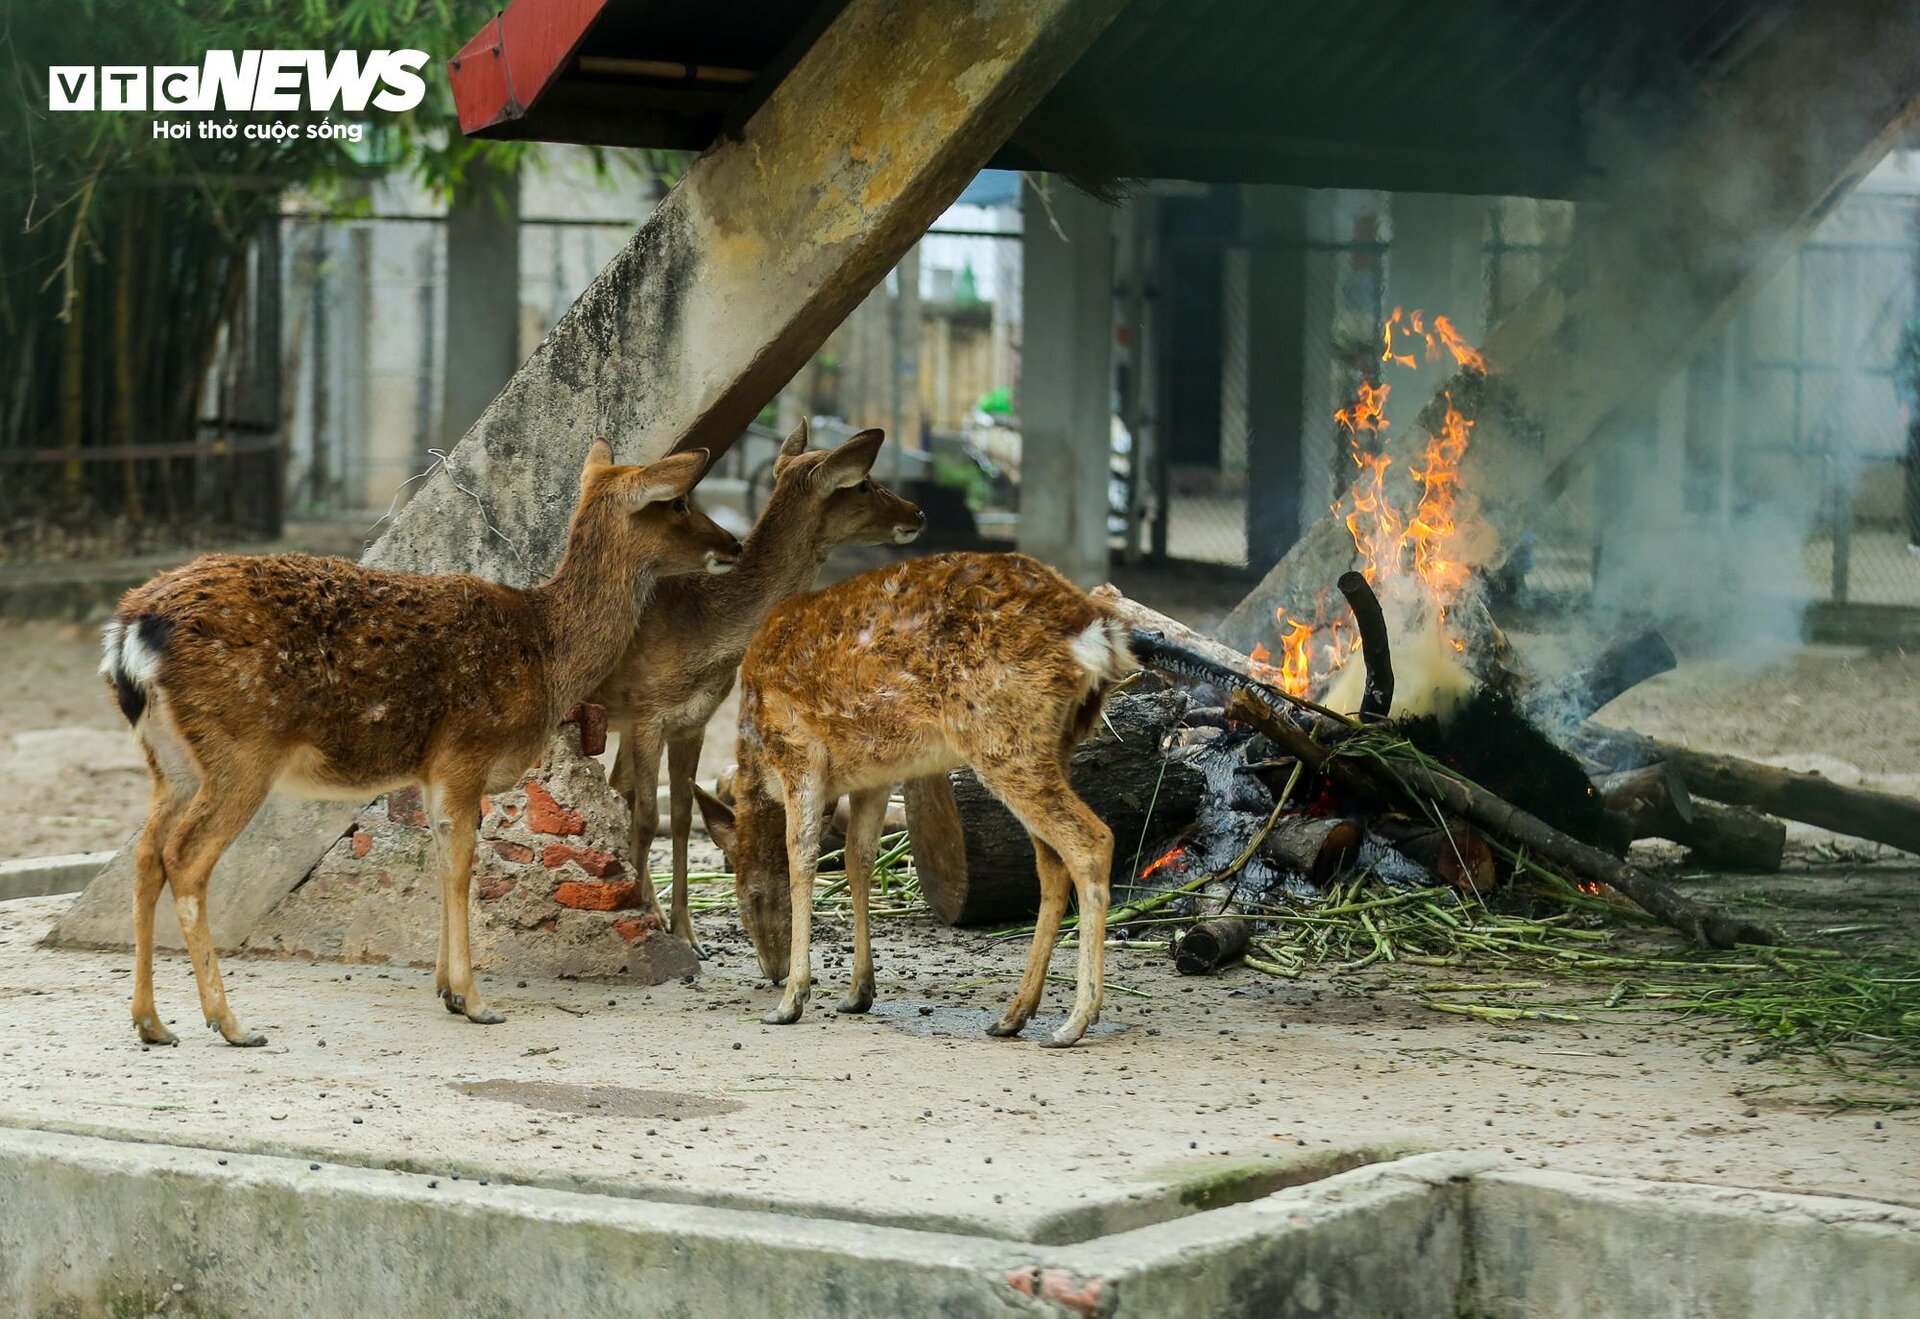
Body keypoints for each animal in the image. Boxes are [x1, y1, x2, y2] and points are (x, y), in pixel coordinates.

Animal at [97, 449, 741, 1044]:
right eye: (679, 504)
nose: (733, 543)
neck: (548, 652)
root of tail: (132, 632)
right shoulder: (465, 751)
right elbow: (461, 865)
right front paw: (475, 1000)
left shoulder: (433, 771)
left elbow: (440, 858)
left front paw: (445, 989)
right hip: (242, 747)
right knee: (185, 857)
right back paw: (230, 1023)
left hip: (171, 761)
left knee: (146, 854)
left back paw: (151, 1022)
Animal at [599, 426, 921, 959]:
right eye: (863, 483)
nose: (918, 513)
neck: (706, 633)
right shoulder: (647, 713)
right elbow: (647, 817)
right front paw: (652, 928)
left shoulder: (693, 719)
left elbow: (681, 816)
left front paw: (687, 934)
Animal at [710, 552, 1136, 1044]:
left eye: (749, 898)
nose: (771, 968)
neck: (755, 755)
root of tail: (1094, 635)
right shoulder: (874, 775)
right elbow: (858, 859)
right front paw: (858, 993)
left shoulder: (798, 752)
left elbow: (802, 861)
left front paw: (791, 1001)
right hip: (1053, 745)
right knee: (1051, 864)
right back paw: (1014, 1015)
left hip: (1004, 739)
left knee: (1092, 841)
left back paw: (1076, 1019)